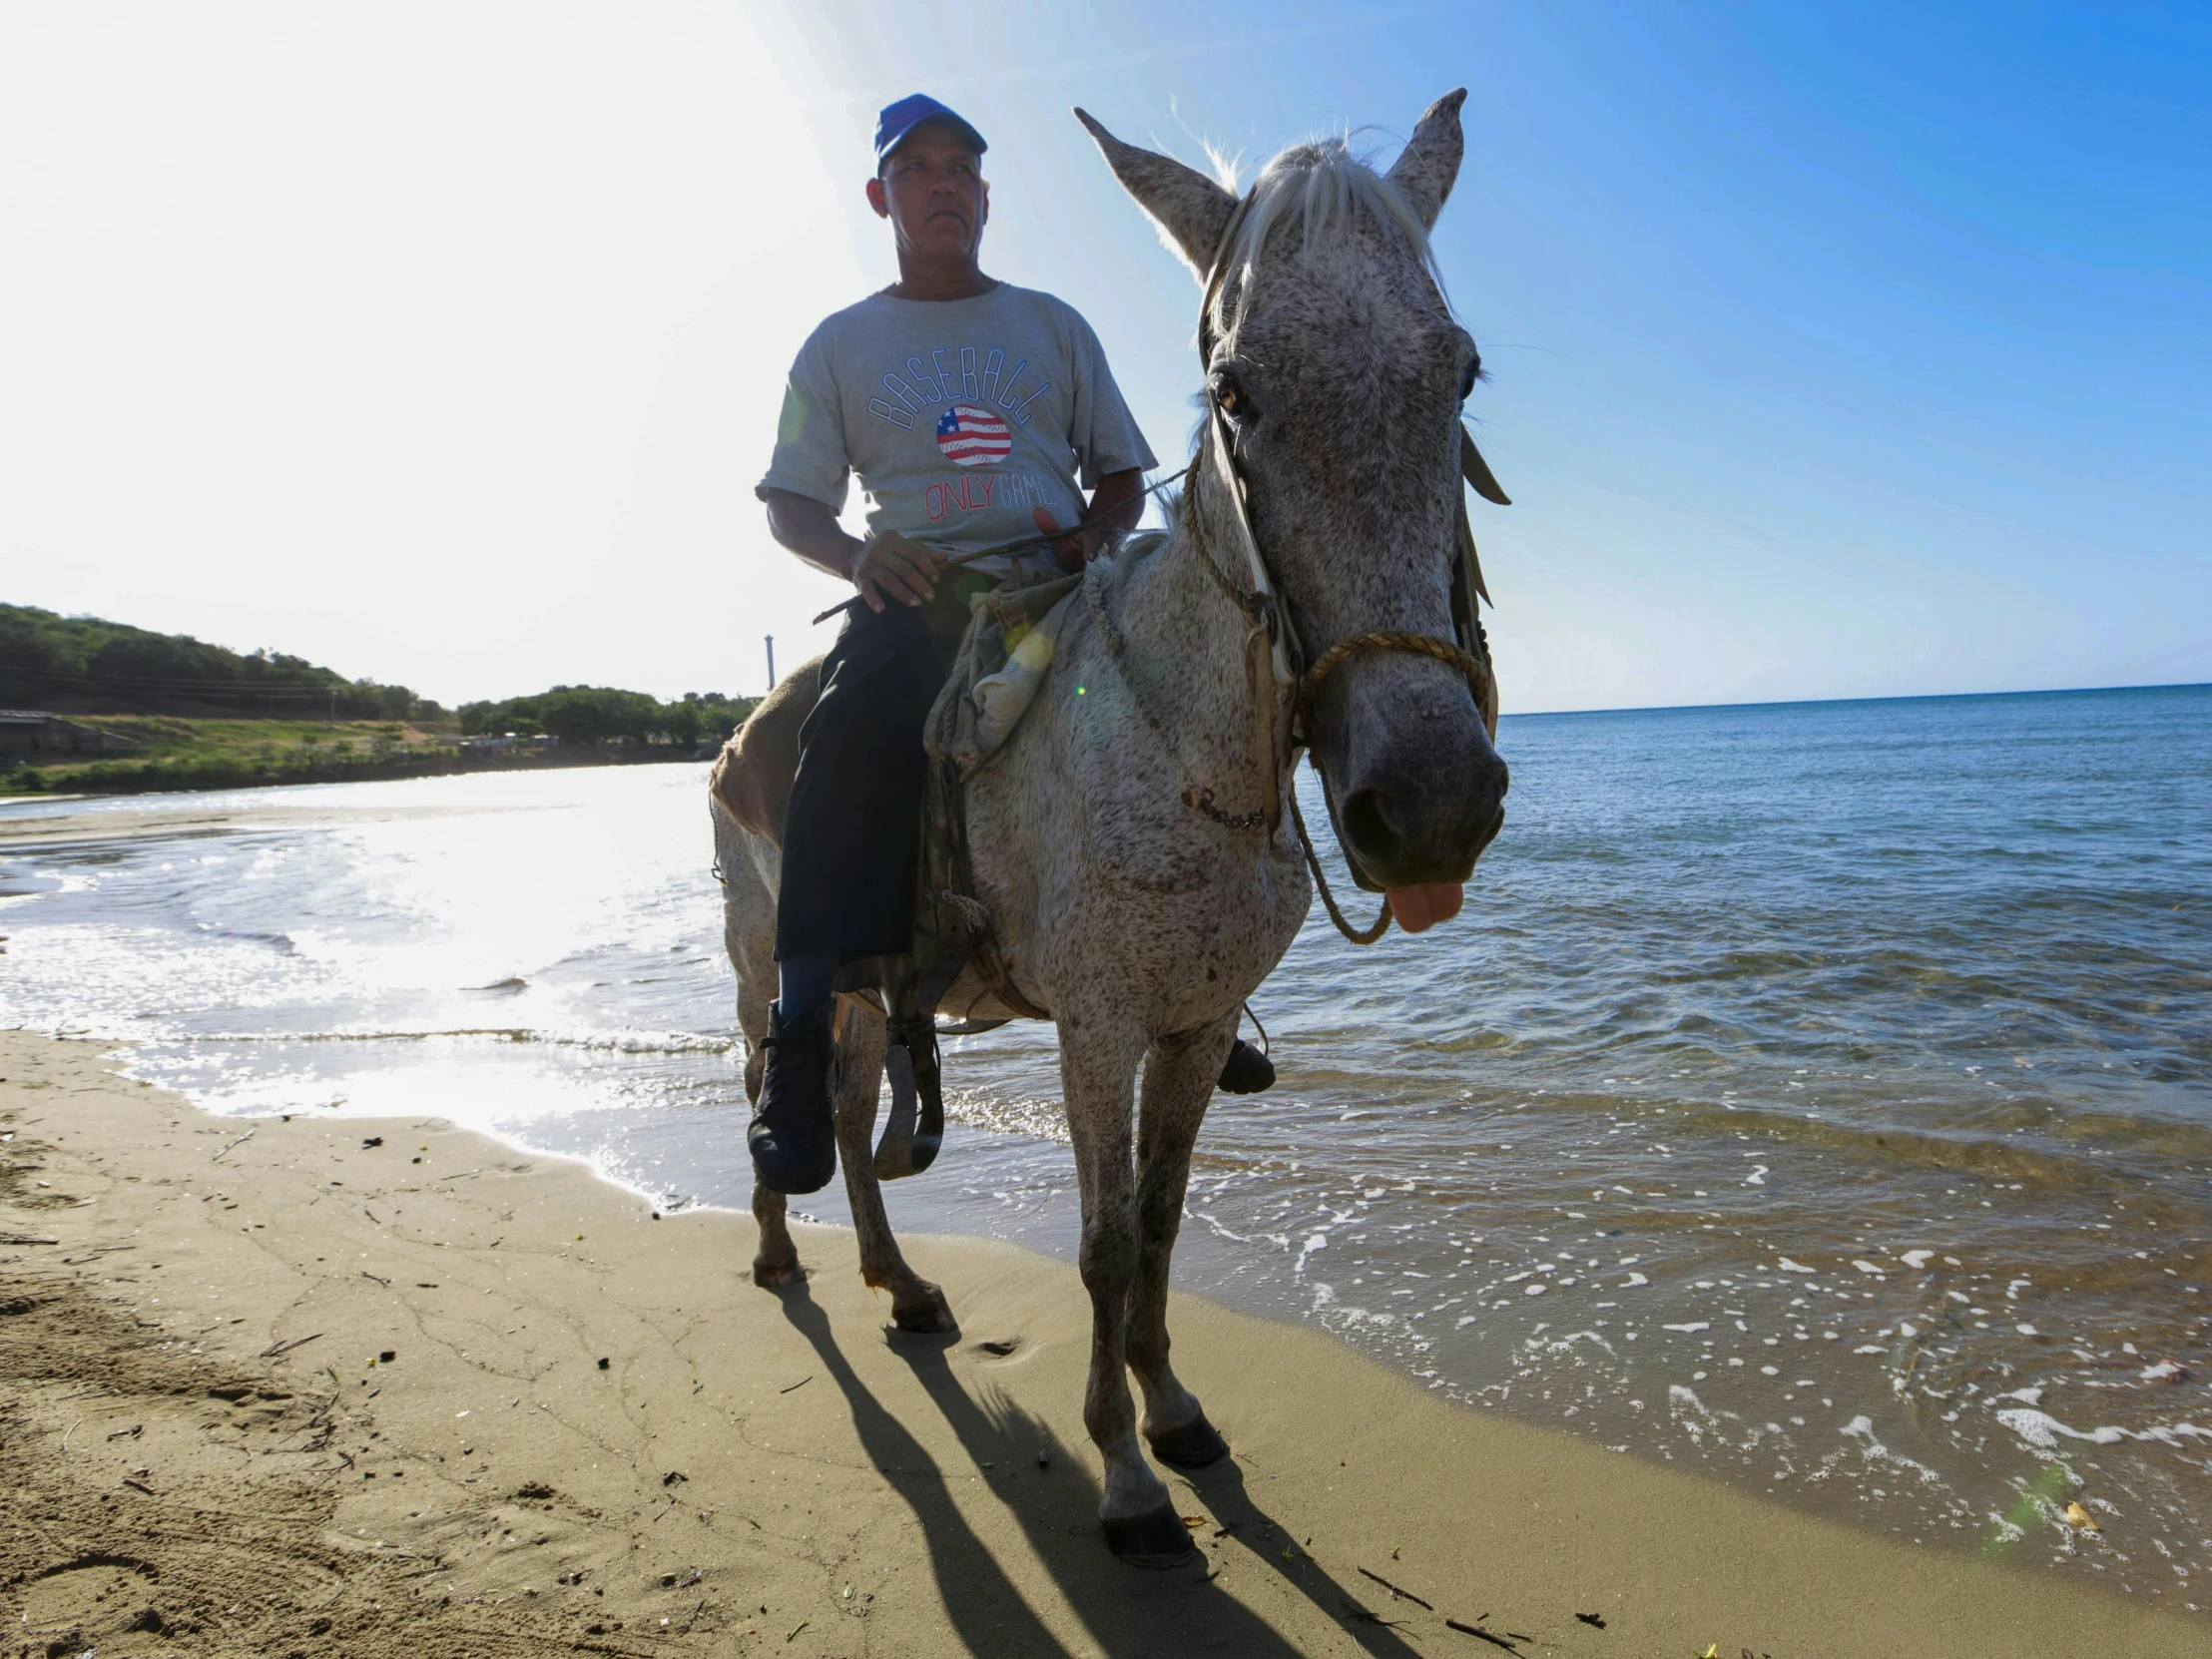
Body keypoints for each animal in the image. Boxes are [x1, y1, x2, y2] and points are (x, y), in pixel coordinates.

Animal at [716, 90, 1512, 1565]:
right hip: (764, 964)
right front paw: (1126, 1475)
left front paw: (1176, 1411)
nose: (1431, 804)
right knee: (778, 1091)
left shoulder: (1190, 1025)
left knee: (852, 1109)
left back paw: (898, 1282)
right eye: (1237, 390)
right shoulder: (1096, 1022)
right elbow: (1094, 1241)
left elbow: (1157, 1222)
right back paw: (781, 1248)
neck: (1180, 749)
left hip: (862, 986)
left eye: (1462, 377)